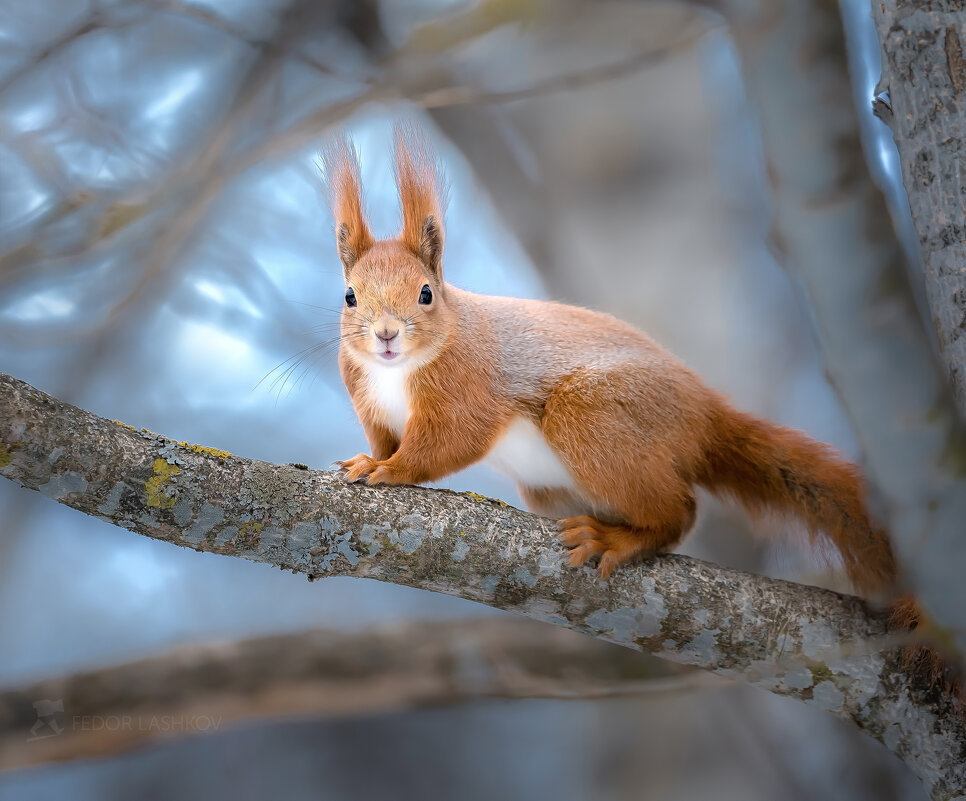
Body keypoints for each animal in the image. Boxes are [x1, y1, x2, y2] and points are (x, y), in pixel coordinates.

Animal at [326, 128, 900, 592]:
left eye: (426, 294)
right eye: (349, 297)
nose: (386, 335)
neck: (394, 372)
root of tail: (705, 414)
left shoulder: (469, 387)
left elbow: (445, 443)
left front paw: (390, 469)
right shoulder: (368, 400)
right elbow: (384, 437)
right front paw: (369, 458)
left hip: (592, 414)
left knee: (679, 512)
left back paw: (616, 540)